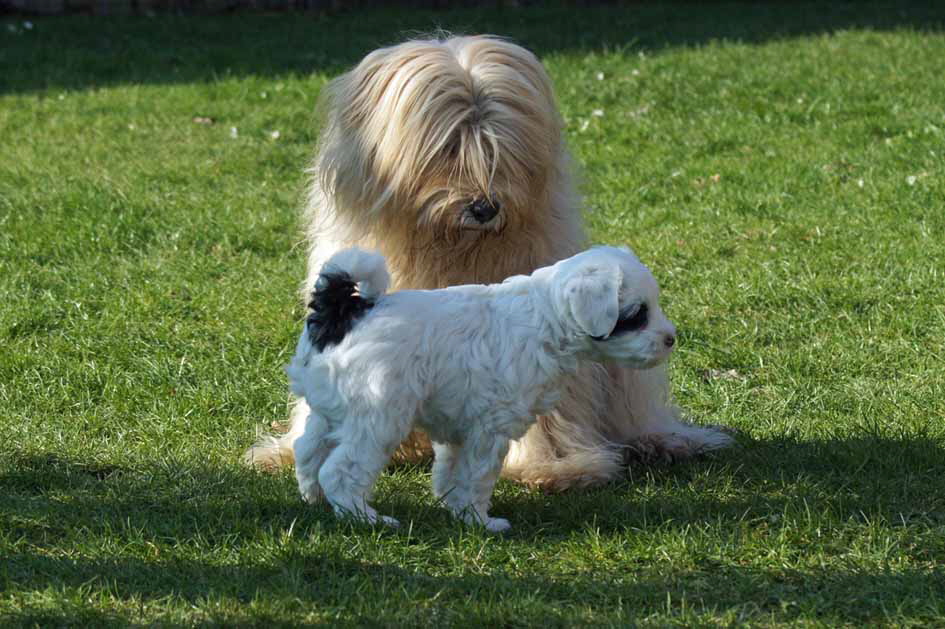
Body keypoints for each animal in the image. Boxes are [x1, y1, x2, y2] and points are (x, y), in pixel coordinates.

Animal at [243, 34, 732, 488]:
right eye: (446, 148)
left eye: (500, 150)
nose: (484, 208)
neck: (451, 248)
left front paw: (555, 466)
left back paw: (662, 440)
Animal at [290, 245, 680, 528]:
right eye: (638, 314)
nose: (671, 339)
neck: (547, 317)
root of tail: (343, 312)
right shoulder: (489, 428)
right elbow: (475, 477)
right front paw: (481, 521)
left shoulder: (460, 427)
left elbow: (452, 473)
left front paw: (458, 512)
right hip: (378, 417)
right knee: (341, 470)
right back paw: (366, 518)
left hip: (330, 410)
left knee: (307, 450)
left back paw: (315, 499)